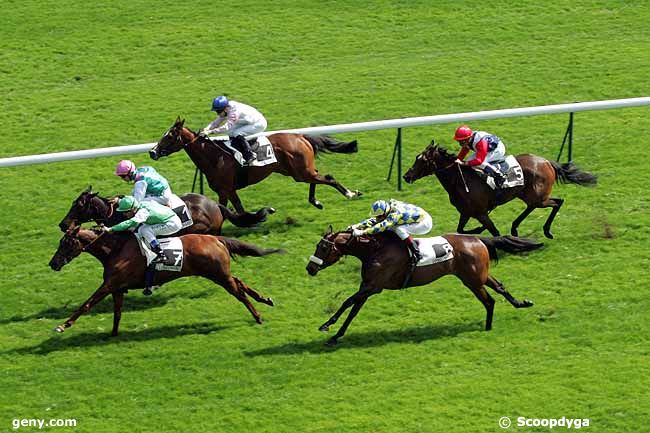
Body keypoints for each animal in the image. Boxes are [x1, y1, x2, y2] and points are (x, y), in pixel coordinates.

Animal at [48, 226, 280, 334]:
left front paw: (63, 325)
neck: (116, 250)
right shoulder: (117, 288)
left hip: (219, 276)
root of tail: (216, 238)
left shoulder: (109, 285)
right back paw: (266, 299)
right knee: (240, 282)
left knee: (239, 292)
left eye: (66, 243)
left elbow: (86, 304)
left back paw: (258, 316)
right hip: (220, 274)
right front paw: (113, 334)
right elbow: (117, 313)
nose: (53, 263)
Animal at [149, 117, 362, 213]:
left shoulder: (225, 190)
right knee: (317, 177)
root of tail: (301, 136)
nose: (152, 152)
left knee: (327, 178)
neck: (215, 157)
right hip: (297, 171)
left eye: (169, 136)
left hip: (300, 171)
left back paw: (350, 193)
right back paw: (315, 201)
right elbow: (237, 209)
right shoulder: (228, 191)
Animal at [306, 226, 540, 344]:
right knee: (499, 287)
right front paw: (336, 335)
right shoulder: (368, 286)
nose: (310, 268)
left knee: (489, 300)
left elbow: (346, 302)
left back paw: (488, 327)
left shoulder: (373, 287)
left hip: (472, 280)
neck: (374, 248)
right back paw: (521, 303)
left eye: (323, 248)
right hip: (479, 275)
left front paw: (326, 325)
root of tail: (478, 239)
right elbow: (353, 311)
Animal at [402, 142, 596, 238]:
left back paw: (546, 231)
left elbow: (494, 231)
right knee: (537, 205)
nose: (406, 176)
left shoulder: (481, 213)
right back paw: (516, 228)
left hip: (537, 197)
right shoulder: (466, 212)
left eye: (422, 160)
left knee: (556, 202)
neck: (459, 180)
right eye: (416, 158)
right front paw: (478, 230)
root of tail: (547, 162)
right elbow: (461, 230)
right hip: (528, 195)